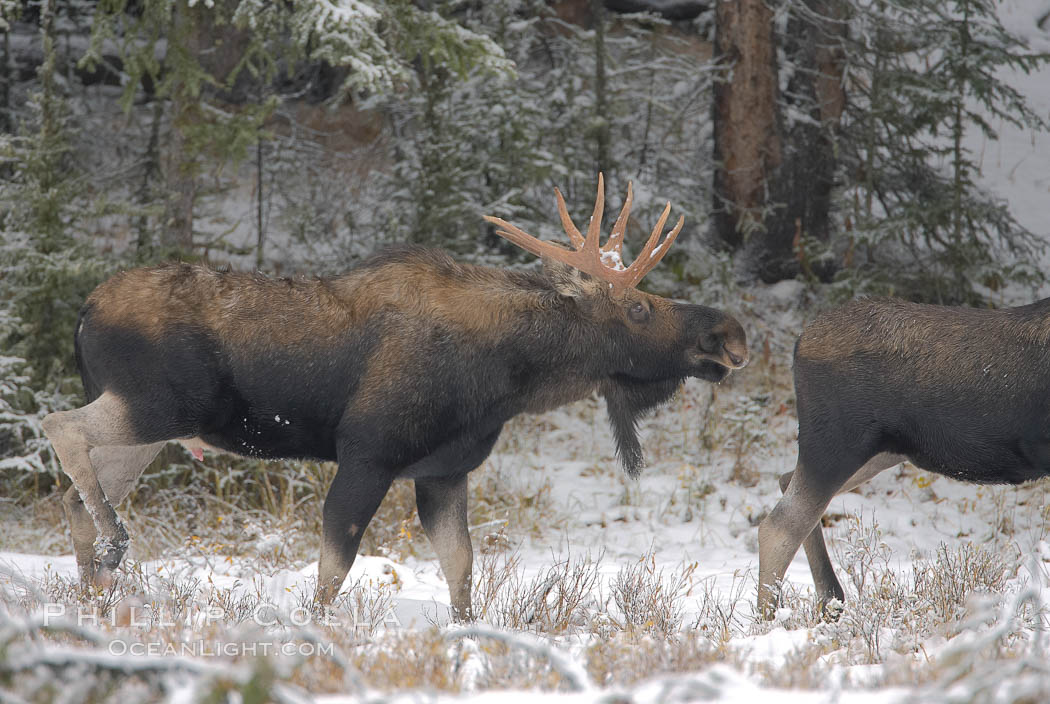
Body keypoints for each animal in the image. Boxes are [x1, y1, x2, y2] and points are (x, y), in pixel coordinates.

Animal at [43, 177, 747, 622]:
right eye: (638, 307)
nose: (731, 334)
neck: (507, 381)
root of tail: (81, 312)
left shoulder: (443, 471)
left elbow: (461, 566)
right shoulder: (368, 454)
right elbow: (334, 565)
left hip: (150, 432)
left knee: (73, 494)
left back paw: (93, 595)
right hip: (157, 406)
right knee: (59, 426)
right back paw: (112, 549)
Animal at [760, 300, 1050, 622]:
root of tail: (800, 342)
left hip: (879, 452)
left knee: (786, 483)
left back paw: (829, 602)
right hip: (837, 443)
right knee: (779, 524)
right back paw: (769, 620)